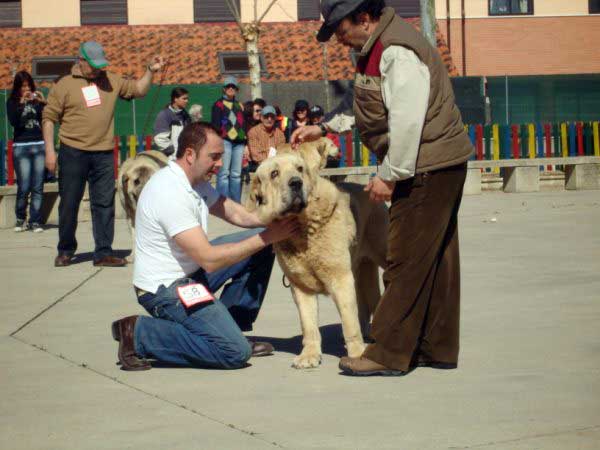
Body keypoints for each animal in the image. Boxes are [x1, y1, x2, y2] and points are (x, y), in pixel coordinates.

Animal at [246, 141, 386, 370]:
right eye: (274, 173)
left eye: (300, 169)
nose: (296, 183)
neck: (303, 228)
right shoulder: (300, 287)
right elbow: (309, 325)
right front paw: (309, 355)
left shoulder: (340, 278)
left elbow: (349, 323)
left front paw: (356, 354)